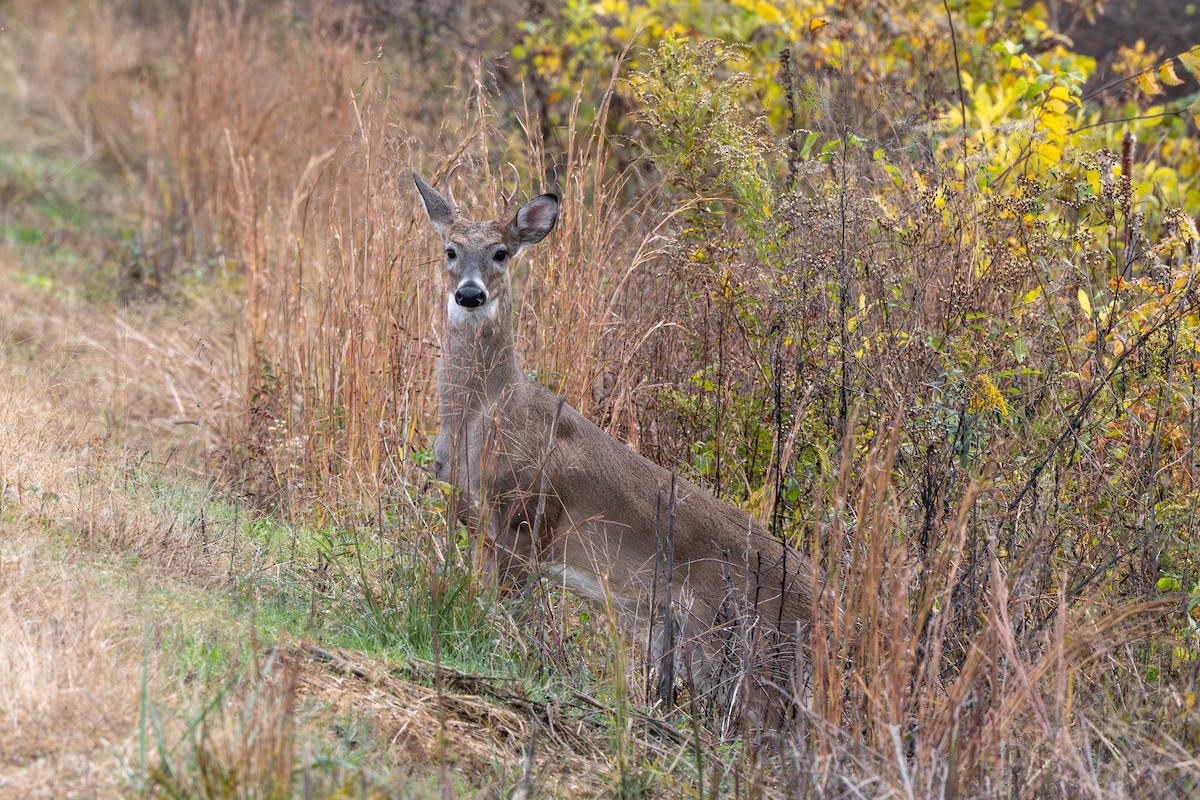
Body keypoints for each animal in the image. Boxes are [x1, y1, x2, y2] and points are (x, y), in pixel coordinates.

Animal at [413, 171, 829, 721]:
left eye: (501, 252)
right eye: (451, 249)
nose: (469, 294)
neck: (483, 415)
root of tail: (822, 601)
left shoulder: (525, 517)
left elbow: (498, 608)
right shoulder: (479, 519)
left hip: (750, 645)